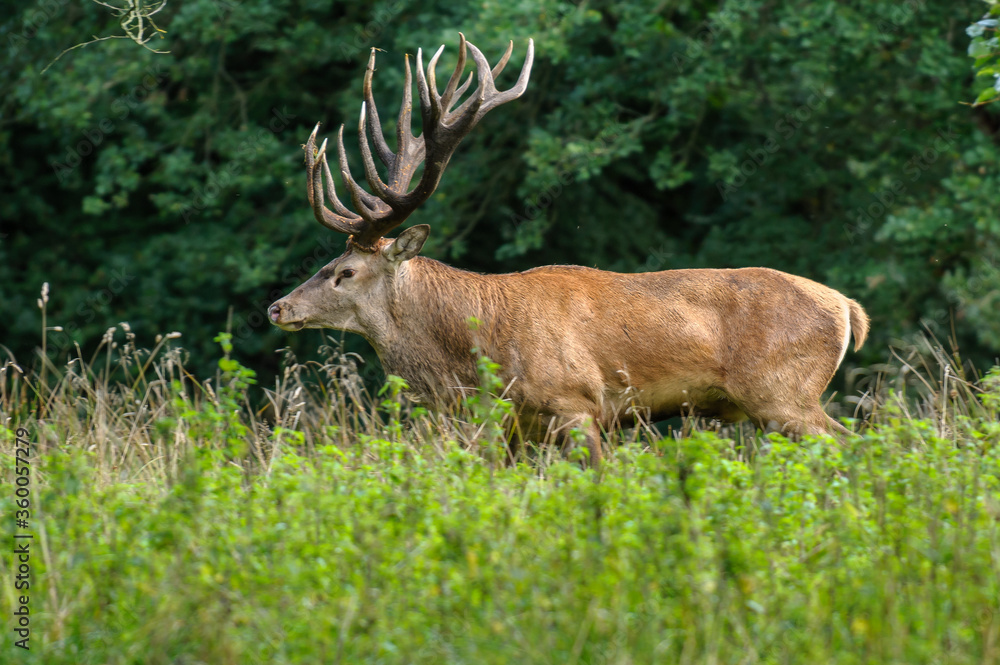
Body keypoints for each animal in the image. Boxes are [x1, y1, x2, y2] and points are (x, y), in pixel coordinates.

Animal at [268, 34, 870, 467]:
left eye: (345, 271)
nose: (278, 307)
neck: (480, 355)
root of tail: (849, 310)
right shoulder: (512, 428)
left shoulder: (577, 402)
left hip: (783, 392)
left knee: (858, 446)